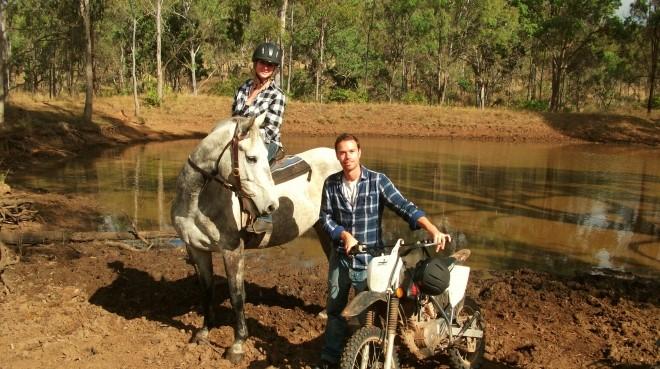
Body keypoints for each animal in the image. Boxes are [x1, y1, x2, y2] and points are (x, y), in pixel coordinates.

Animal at [170, 115, 340, 362]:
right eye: (251, 158)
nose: (271, 206)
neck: (197, 201)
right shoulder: (196, 249)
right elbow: (206, 290)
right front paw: (203, 333)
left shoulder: (232, 249)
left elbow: (237, 295)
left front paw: (237, 345)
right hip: (324, 230)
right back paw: (327, 312)